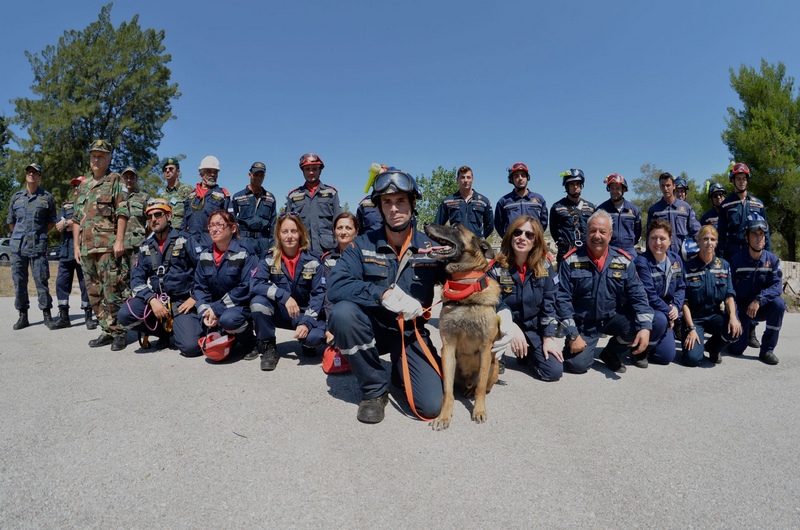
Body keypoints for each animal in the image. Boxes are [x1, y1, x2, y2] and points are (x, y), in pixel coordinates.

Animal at [424, 223, 500, 428]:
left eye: (456, 227)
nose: (425, 224)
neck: (465, 288)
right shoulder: (448, 348)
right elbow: (447, 391)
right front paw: (443, 416)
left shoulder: (485, 348)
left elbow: (481, 387)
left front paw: (479, 410)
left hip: (494, 364)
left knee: (481, 385)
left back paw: (470, 391)